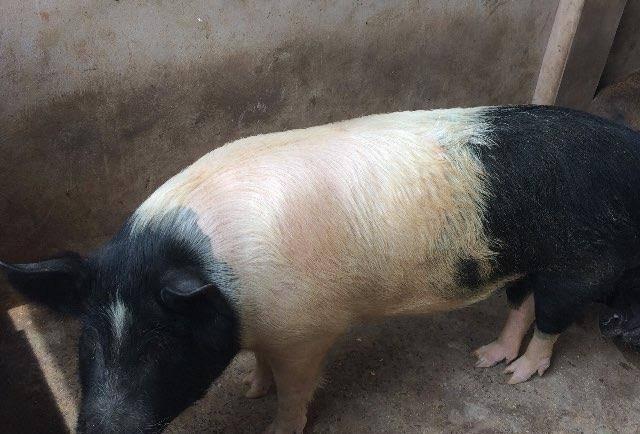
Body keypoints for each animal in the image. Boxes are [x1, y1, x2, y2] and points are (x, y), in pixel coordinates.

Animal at [2, 104, 640, 433]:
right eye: (88, 343)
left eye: (159, 344)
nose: (100, 430)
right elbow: (263, 370)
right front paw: (252, 389)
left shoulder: (306, 330)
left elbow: (297, 389)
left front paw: (274, 426)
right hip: (532, 259)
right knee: (523, 304)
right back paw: (488, 359)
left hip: (582, 263)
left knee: (554, 321)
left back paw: (515, 378)